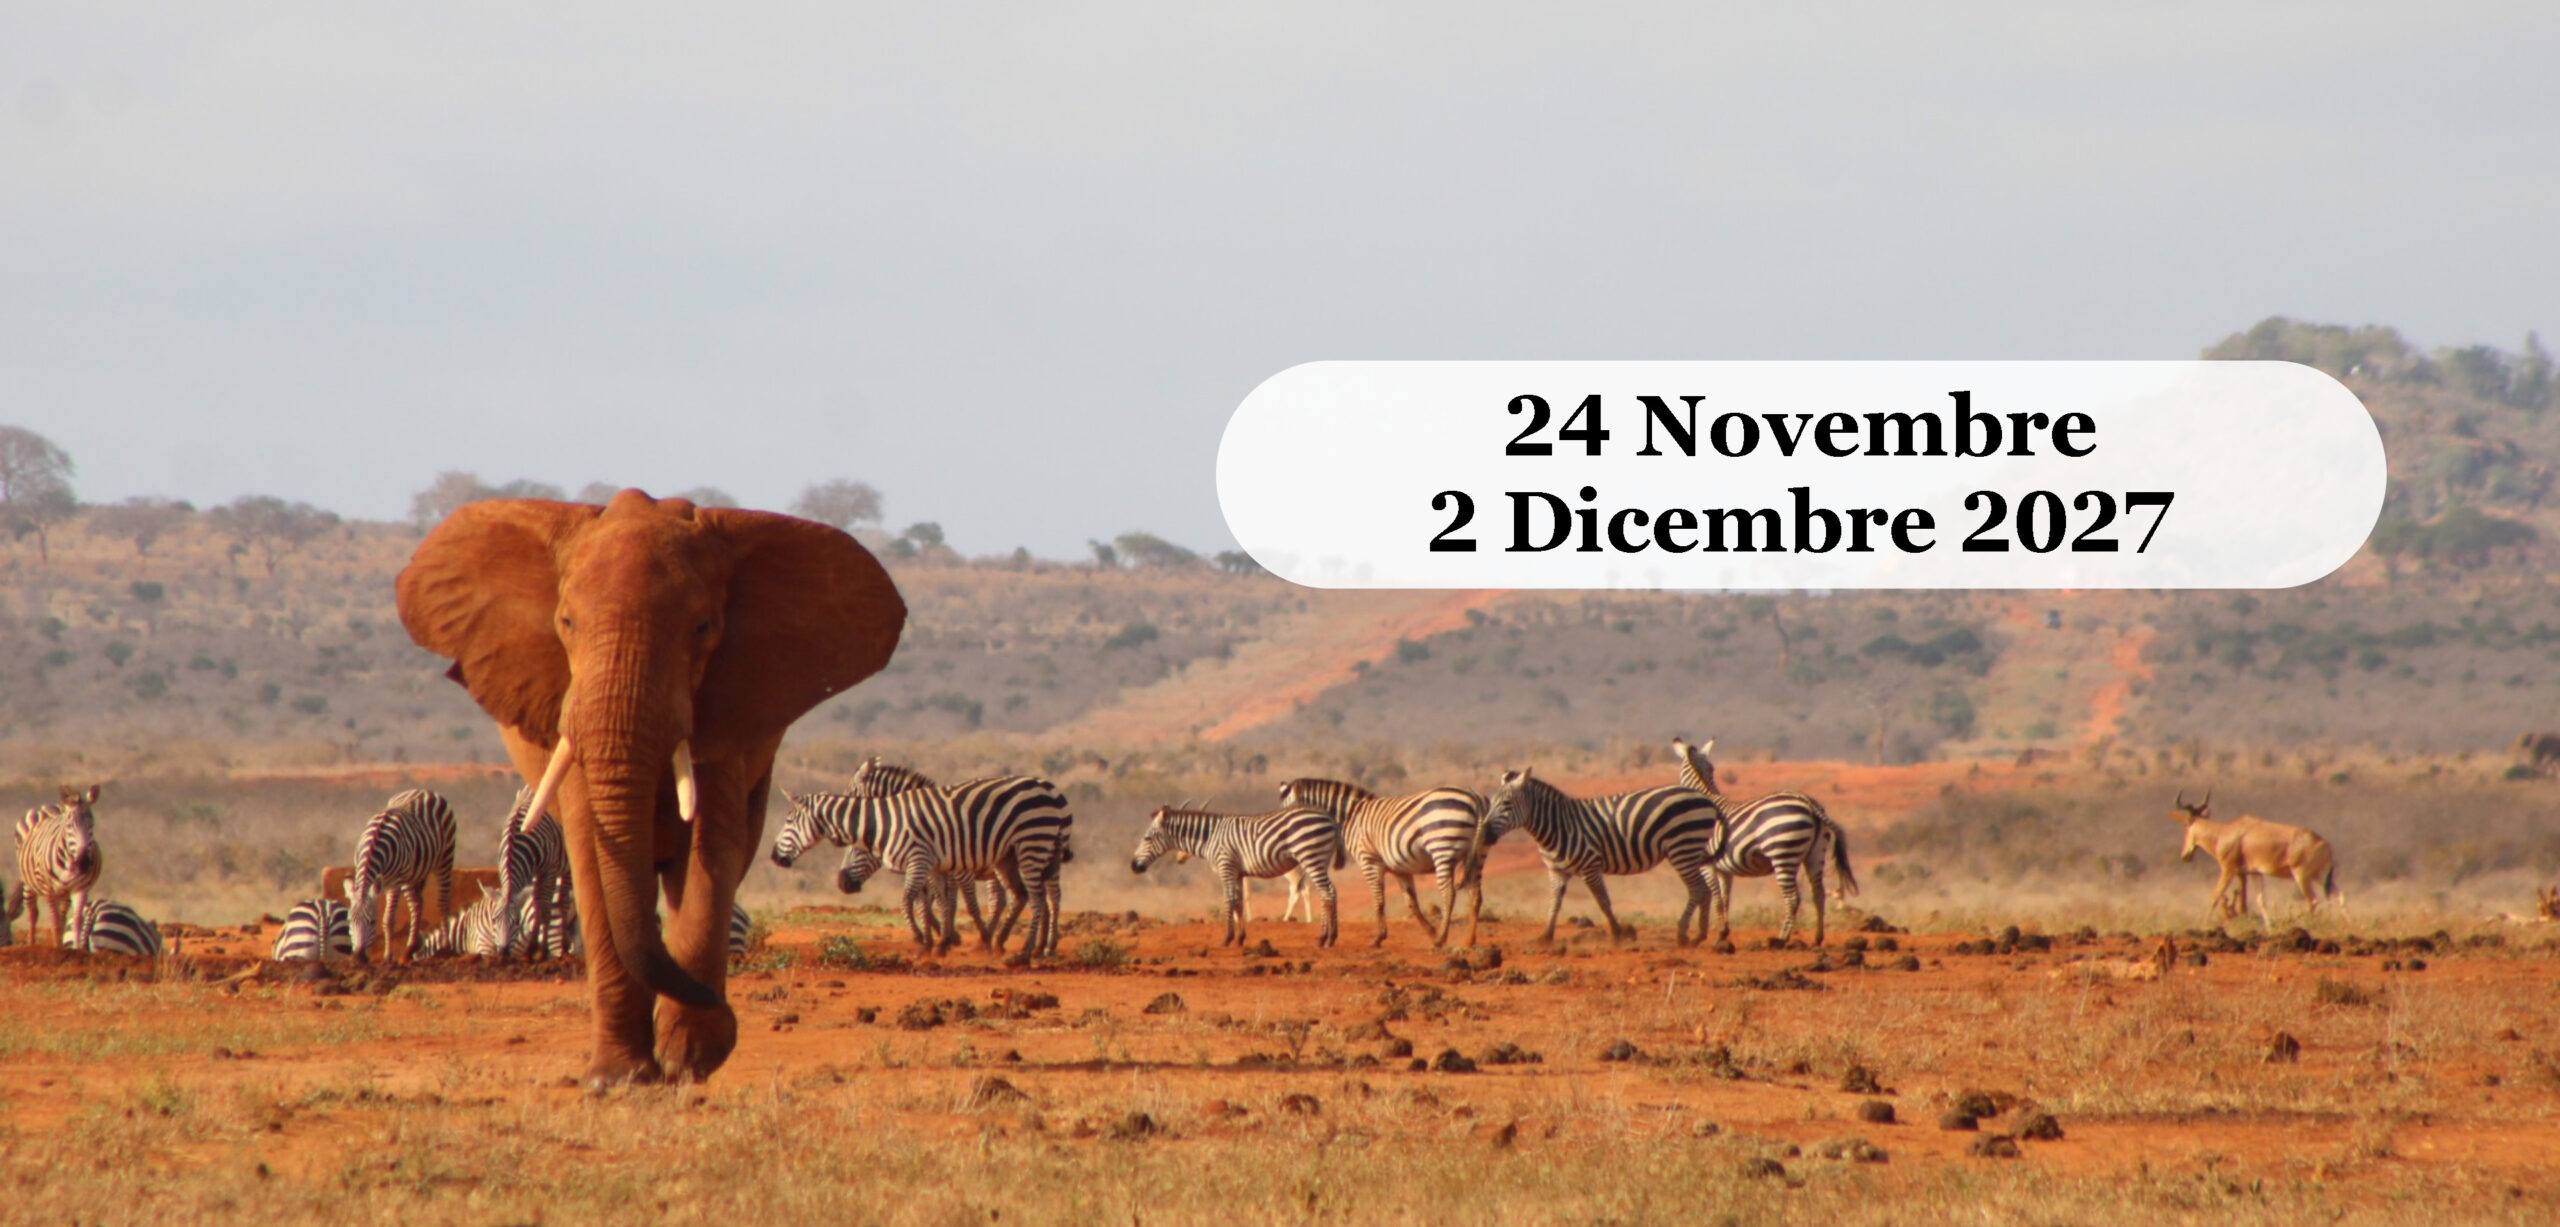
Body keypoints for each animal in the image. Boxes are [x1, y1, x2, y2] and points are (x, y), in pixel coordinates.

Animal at [397, 490, 903, 1085]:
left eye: (703, 627)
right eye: (566, 622)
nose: (723, 1007)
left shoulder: (727, 709)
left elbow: (711, 850)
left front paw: (690, 1059)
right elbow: (592, 857)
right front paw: (618, 1077)